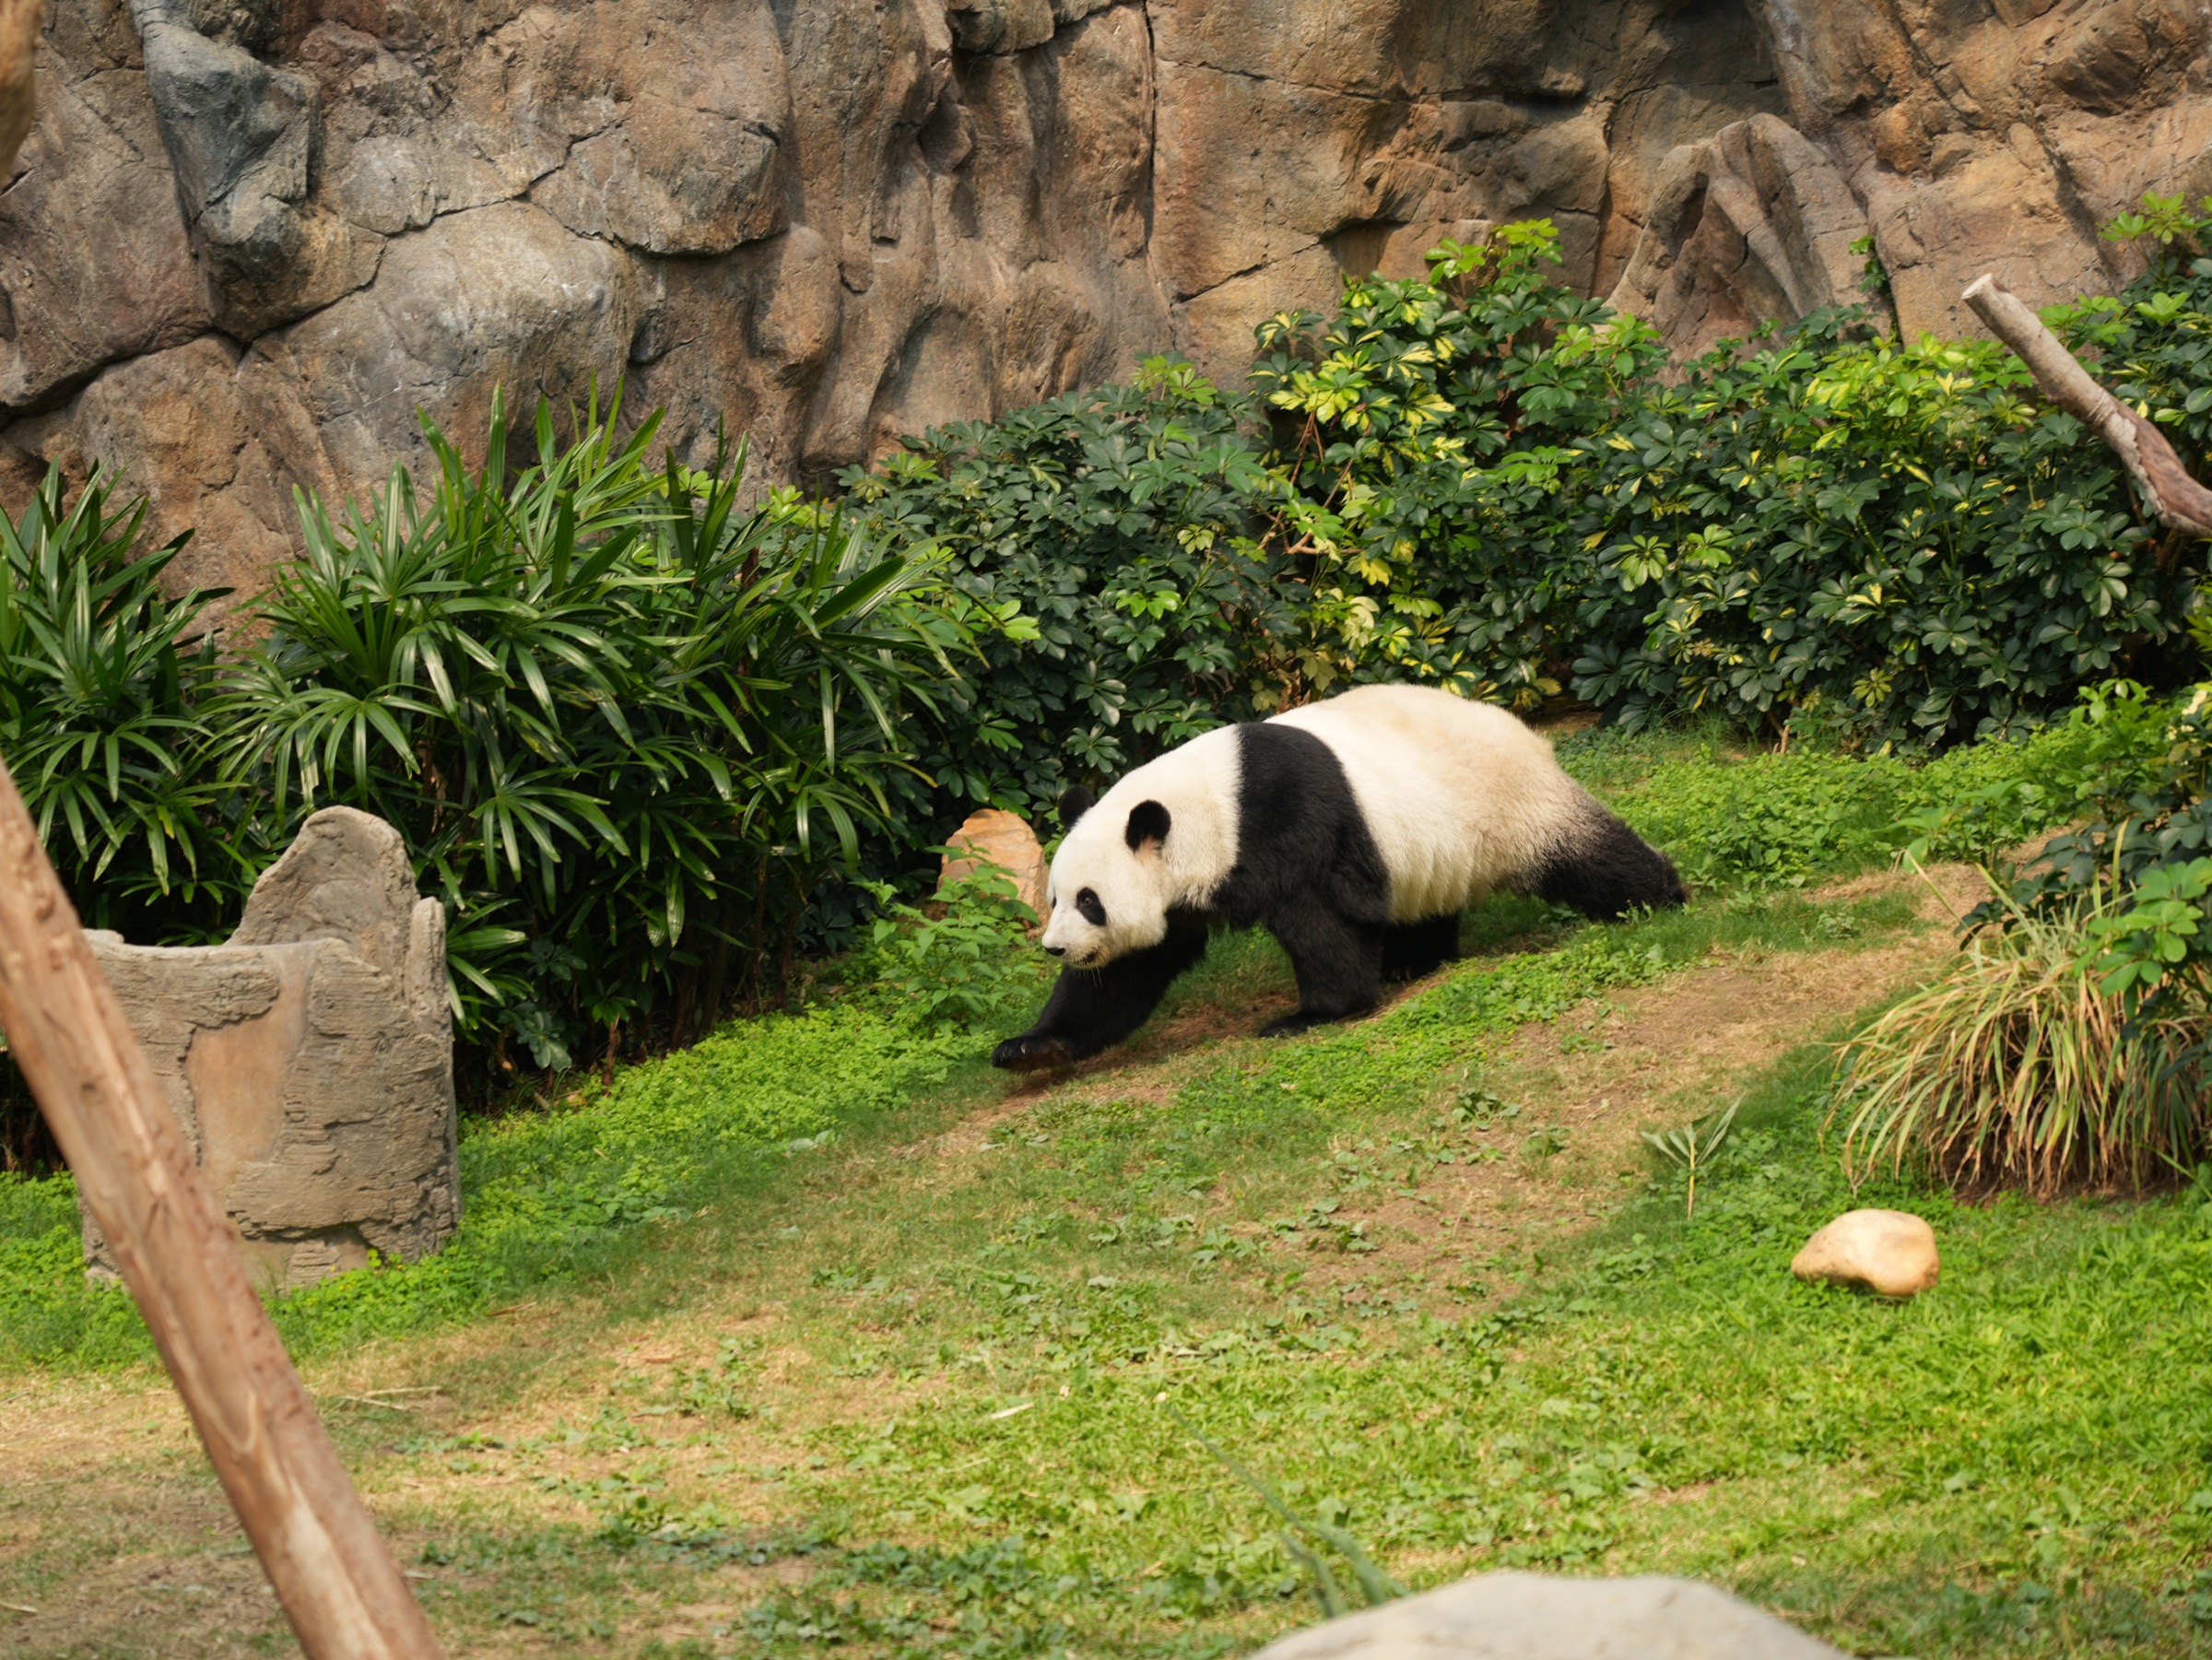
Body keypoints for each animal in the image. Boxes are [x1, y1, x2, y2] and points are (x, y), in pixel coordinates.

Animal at [995, 681, 1681, 1071]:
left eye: (1090, 901)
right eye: (1054, 898)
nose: (1056, 947)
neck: (1207, 807)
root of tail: (1525, 730)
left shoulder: (1286, 823)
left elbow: (1322, 922)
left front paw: (1312, 1015)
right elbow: (1125, 973)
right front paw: (1030, 1048)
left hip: (1507, 800)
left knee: (1585, 856)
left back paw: (1661, 898)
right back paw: (1414, 961)